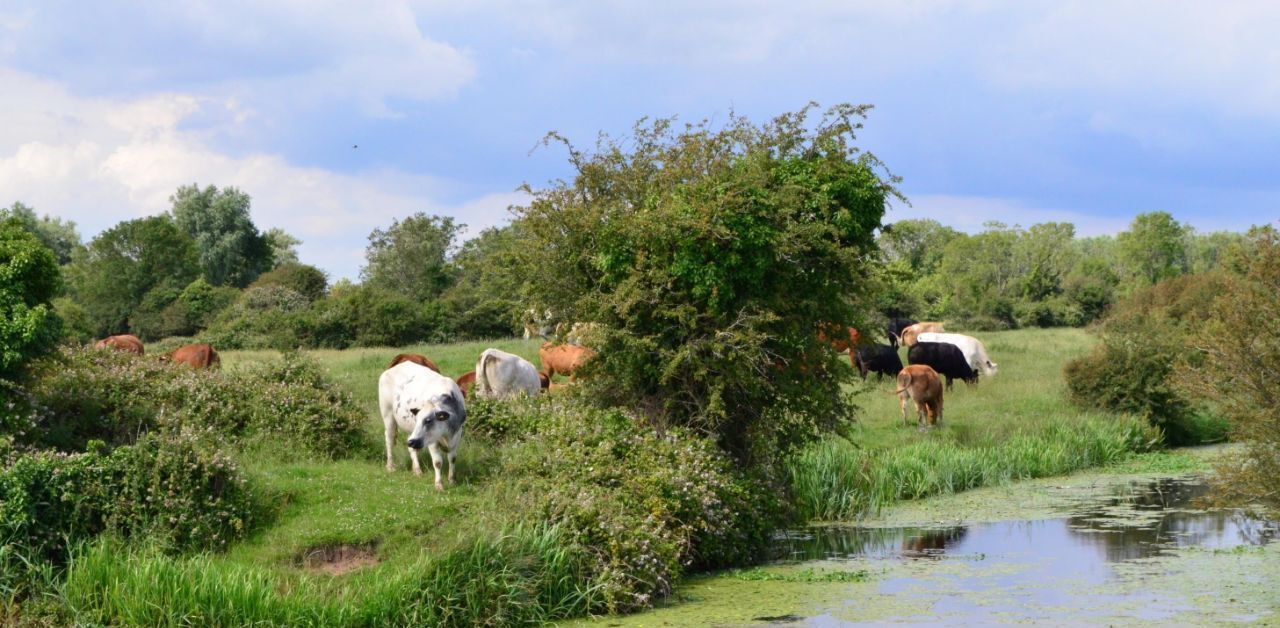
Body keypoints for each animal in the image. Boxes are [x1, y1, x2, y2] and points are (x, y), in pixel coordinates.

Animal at [376, 358, 468, 491]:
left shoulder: (457, 435)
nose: (412, 441)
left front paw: (452, 480)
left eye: (428, 420)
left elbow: (452, 458)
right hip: (388, 416)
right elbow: (437, 462)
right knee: (389, 440)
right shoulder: (432, 441)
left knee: (411, 448)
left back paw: (417, 470)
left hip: (411, 431)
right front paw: (439, 484)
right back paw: (391, 466)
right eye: (418, 419)